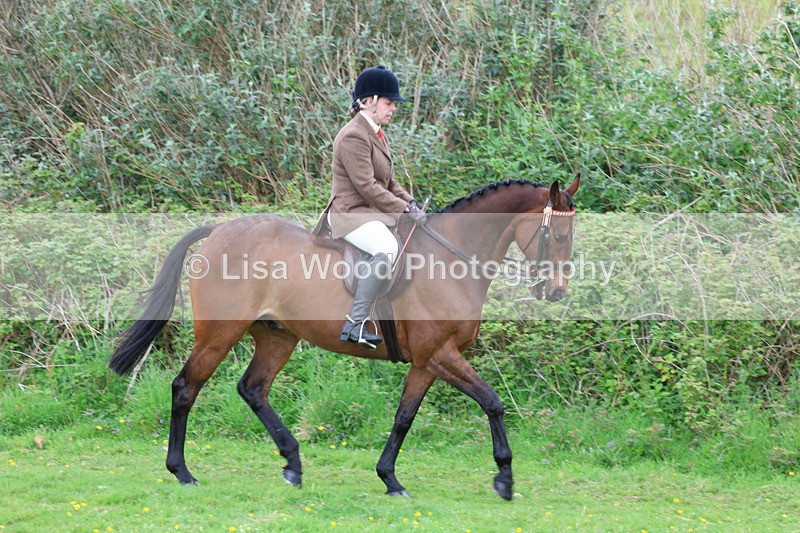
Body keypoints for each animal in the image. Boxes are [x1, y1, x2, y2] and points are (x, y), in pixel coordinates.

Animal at [109, 176, 580, 500]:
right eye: (558, 235)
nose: (557, 292)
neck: (452, 258)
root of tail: (220, 231)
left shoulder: (427, 362)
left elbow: (404, 417)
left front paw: (389, 478)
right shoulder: (440, 354)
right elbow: (493, 403)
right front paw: (505, 477)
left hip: (277, 337)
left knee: (253, 389)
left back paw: (293, 463)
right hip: (220, 334)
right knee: (186, 387)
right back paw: (182, 472)